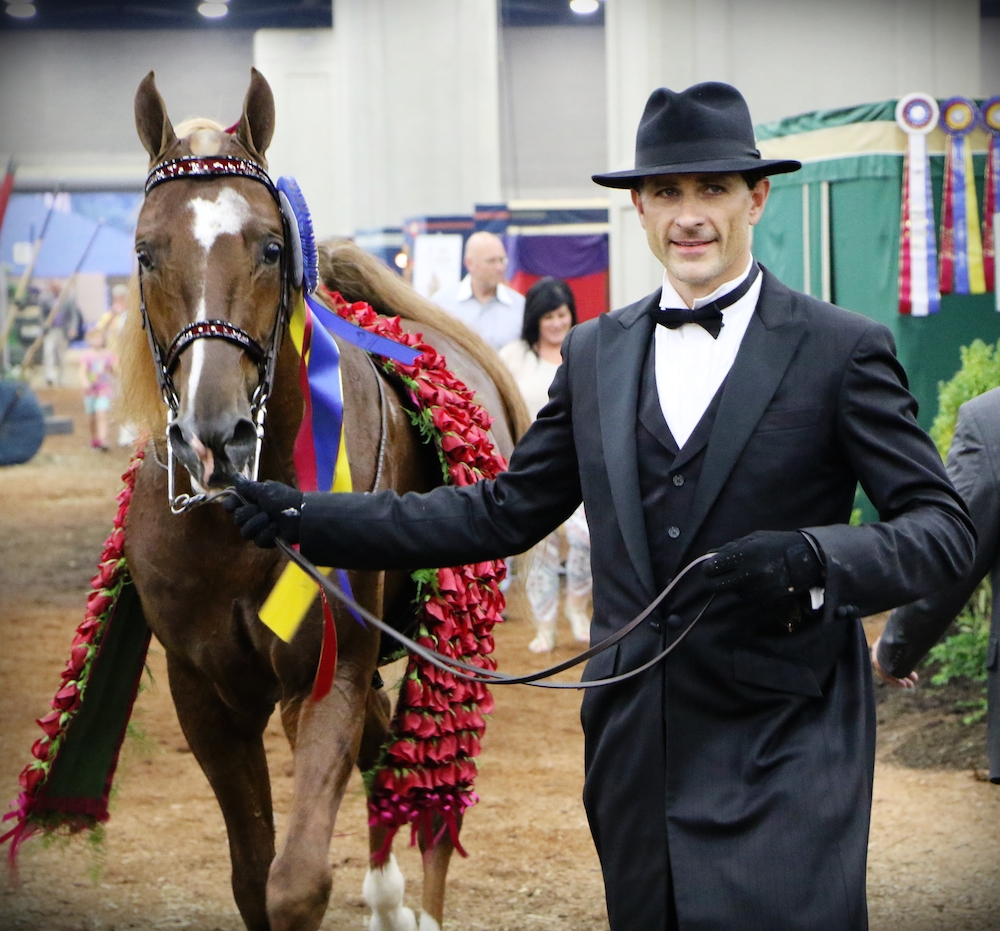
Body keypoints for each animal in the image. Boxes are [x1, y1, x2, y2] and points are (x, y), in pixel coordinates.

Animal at [119, 71, 532, 931]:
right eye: (146, 251)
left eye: (270, 247)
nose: (216, 434)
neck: (234, 523)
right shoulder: (206, 694)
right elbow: (253, 877)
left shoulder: (326, 672)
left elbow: (297, 880)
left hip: (450, 641)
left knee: (431, 790)